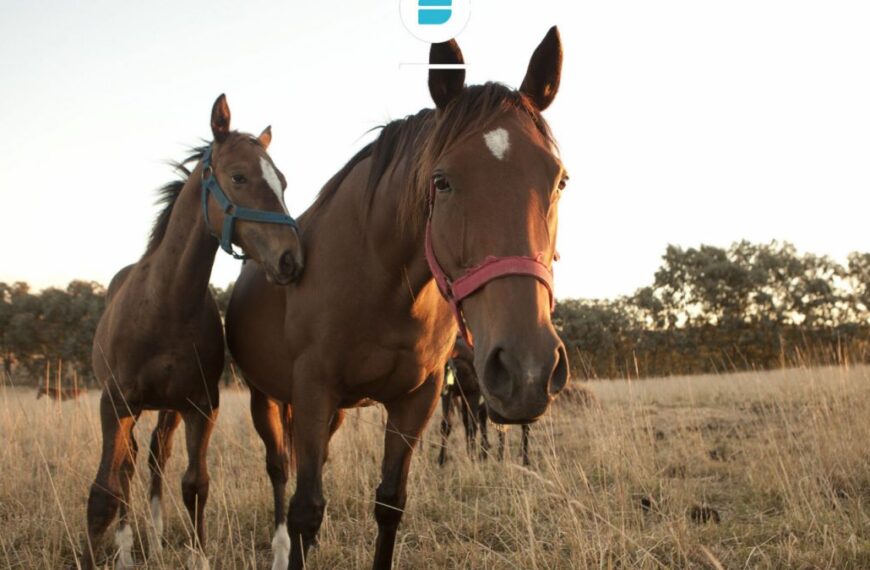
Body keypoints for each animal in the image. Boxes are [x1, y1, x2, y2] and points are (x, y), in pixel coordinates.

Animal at [82, 95, 304, 564]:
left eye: (282, 182)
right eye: (238, 176)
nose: (291, 259)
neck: (166, 305)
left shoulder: (200, 406)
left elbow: (196, 484)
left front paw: (196, 556)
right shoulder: (114, 405)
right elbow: (104, 493)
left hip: (167, 409)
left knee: (155, 456)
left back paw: (154, 534)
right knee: (128, 468)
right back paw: (128, 547)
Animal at [436, 336, 532, 464]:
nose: (440, 389)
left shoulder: (473, 393)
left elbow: (472, 426)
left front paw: (472, 457)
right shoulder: (451, 395)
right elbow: (447, 425)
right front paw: (441, 459)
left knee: (520, 424)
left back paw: (522, 458)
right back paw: (488, 454)